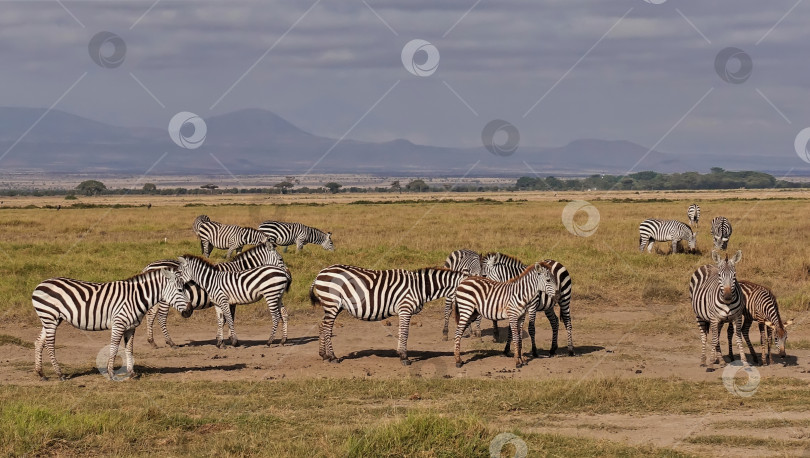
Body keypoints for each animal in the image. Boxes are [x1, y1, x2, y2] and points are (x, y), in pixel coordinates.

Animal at [32, 266, 188, 382]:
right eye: (180, 290)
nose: (189, 311)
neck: (136, 297)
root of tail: (41, 284)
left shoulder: (131, 327)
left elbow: (129, 349)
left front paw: (131, 373)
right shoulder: (118, 324)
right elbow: (114, 348)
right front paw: (111, 373)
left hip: (51, 319)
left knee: (39, 342)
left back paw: (41, 374)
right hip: (50, 317)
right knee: (50, 345)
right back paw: (60, 374)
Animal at [144, 243, 288, 348]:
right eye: (281, 259)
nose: (288, 275)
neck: (238, 269)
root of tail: (148, 266)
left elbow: (224, 319)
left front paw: (222, 339)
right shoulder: (231, 300)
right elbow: (229, 318)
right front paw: (230, 339)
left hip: (157, 300)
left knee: (151, 315)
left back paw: (152, 341)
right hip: (165, 301)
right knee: (161, 318)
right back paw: (170, 342)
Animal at [310, 264, 468, 364]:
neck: (420, 288)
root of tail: (320, 273)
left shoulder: (403, 311)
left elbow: (401, 332)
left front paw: (400, 354)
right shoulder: (405, 308)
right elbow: (405, 333)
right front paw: (404, 357)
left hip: (331, 306)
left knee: (322, 325)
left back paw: (324, 355)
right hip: (332, 303)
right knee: (327, 328)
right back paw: (333, 357)